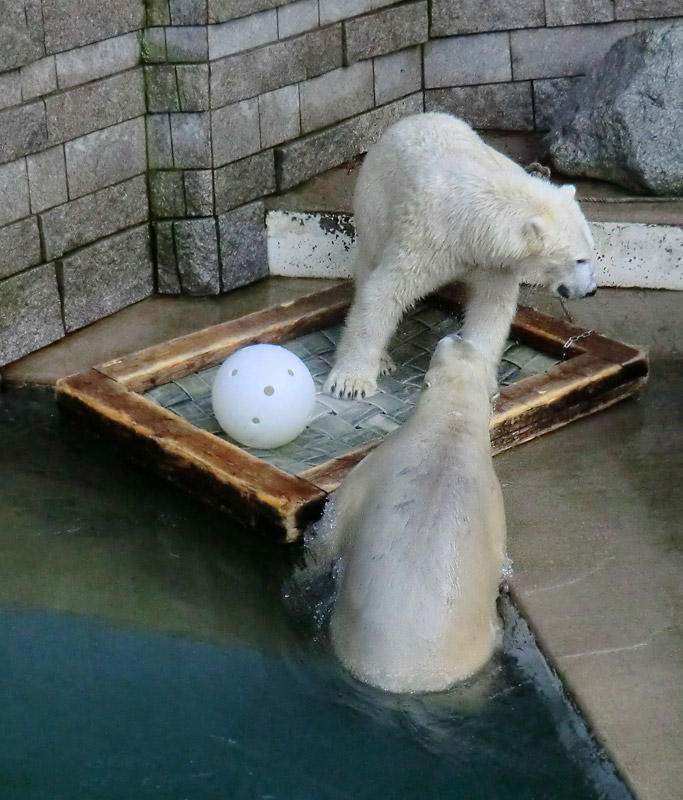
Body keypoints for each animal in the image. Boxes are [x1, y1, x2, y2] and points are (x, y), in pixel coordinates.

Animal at [304, 338, 508, 692]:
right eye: (466, 351)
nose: (459, 338)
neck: (451, 427)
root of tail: (405, 680)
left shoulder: (370, 467)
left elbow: (330, 531)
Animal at [324, 112, 596, 400]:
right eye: (579, 259)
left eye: (592, 252)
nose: (591, 290)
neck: (471, 226)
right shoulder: (426, 241)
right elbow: (384, 293)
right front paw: (350, 383)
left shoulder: (493, 261)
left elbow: (490, 307)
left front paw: (476, 376)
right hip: (376, 203)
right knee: (369, 262)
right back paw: (383, 360)